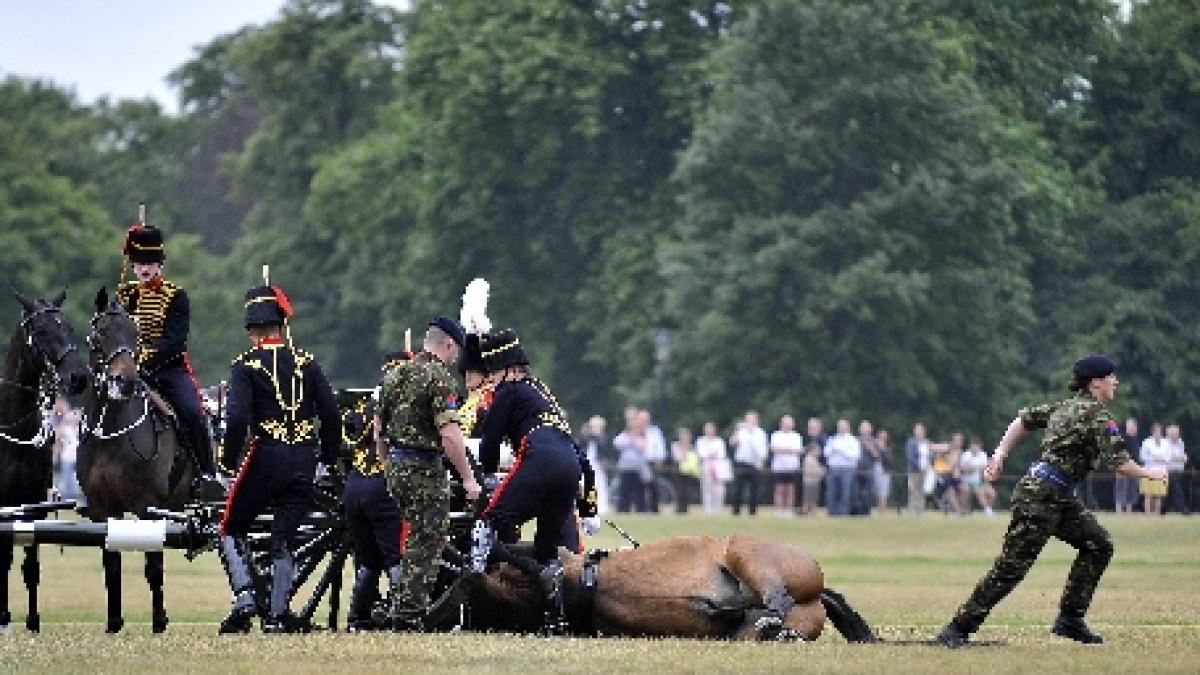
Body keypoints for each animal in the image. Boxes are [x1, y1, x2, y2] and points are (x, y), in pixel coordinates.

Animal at [0, 289, 88, 629]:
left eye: (70, 328)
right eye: (41, 331)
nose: (78, 377)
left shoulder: (31, 502)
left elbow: (31, 564)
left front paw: (33, 620)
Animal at [77, 288, 193, 629]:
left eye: (135, 334)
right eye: (100, 332)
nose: (125, 382)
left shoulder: (147, 507)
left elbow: (153, 565)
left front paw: (159, 620)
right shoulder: (102, 509)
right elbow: (111, 563)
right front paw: (114, 621)